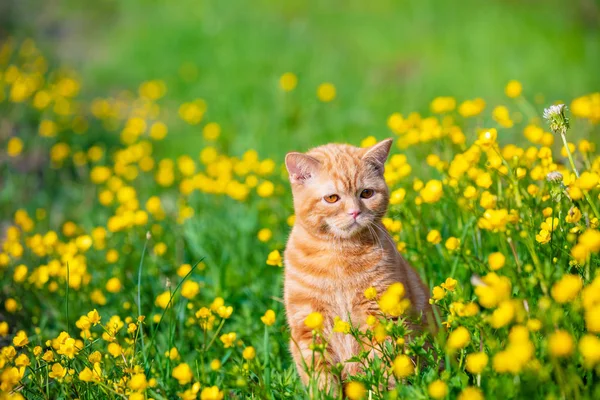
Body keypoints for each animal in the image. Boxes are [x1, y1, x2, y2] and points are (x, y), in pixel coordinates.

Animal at [282, 138, 432, 388]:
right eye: (332, 198)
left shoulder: (381, 314)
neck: (339, 253)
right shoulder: (307, 327)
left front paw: (384, 390)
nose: (354, 212)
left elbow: (382, 364)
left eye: (367, 193)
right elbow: (321, 380)